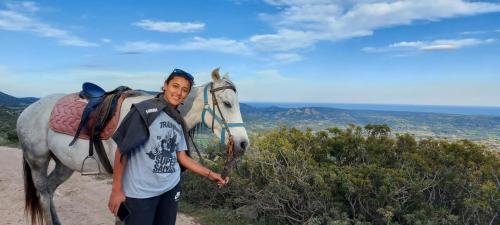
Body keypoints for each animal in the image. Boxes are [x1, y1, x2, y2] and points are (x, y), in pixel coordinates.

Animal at [17, 69, 248, 225]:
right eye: (227, 103)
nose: (243, 143)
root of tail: (28, 110)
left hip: (64, 165)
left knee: (50, 190)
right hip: (37, 161)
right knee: (43, 194)